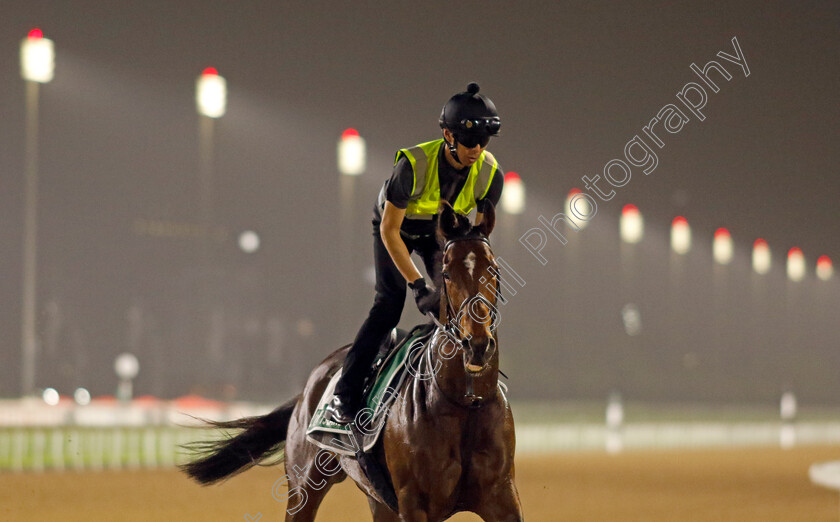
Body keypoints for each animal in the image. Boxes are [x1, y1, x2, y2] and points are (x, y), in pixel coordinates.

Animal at [183, 200, 520, 520]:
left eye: (494, 270)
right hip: (304, 486)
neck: (464, 402)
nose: (477, 344)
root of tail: (310, 384)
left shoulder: (501, 497)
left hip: (380, 503)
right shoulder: (415, 503)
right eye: (447, 273)